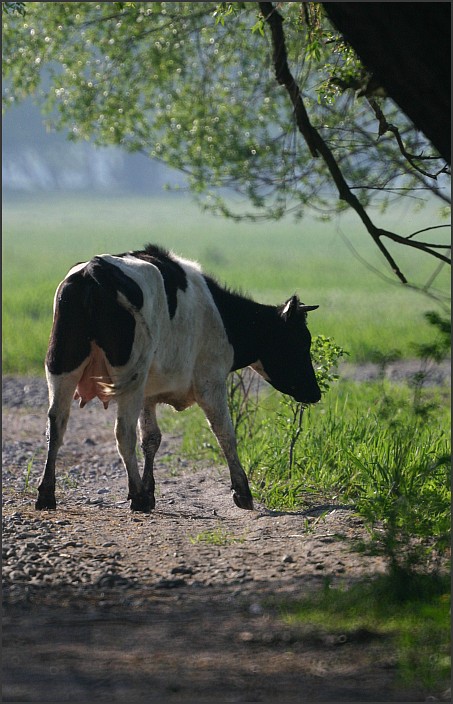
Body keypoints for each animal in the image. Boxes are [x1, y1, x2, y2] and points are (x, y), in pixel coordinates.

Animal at [37, 245, 322, 516]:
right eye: (300, 342)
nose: (315, 392)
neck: (221, 316)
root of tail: (94, 268)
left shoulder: (148, 393)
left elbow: (151, 438)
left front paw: (150, 491)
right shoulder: (210, 381)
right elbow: (225, 433)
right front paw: (242, 492)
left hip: (61, 364)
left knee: (56, 424)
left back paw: (47, 494)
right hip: (129, 376)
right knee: (123, 432)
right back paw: (136, 497)